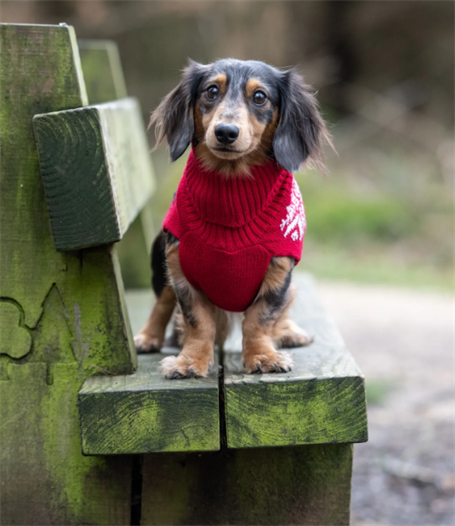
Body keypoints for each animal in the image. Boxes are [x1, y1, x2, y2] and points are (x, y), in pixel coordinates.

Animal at [134, 59, 330, 379]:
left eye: (260, 97)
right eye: (211, 91)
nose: (225, 132)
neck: (231, 190)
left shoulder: (278, 270)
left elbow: (260, 318)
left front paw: (263, 356)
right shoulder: (181, 268)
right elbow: (198, 321)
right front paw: (190, 361)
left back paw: (288, 332)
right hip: (160, 258)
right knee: (161, 302)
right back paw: (147, 337)